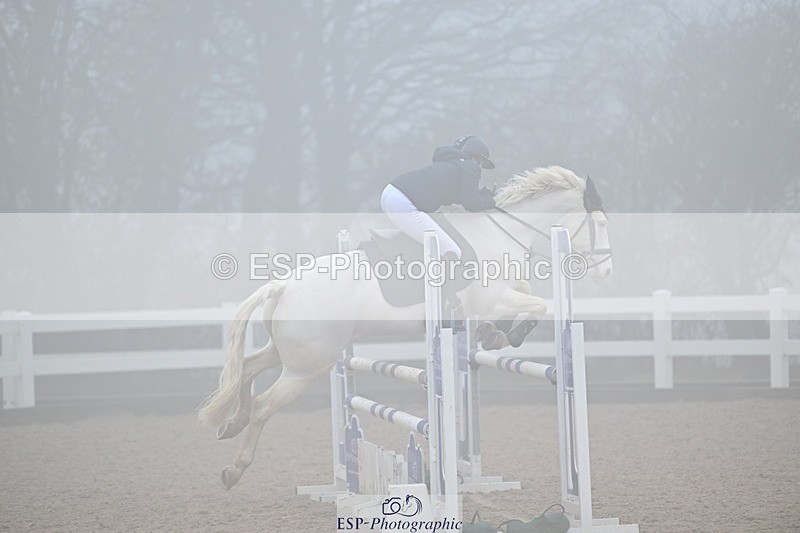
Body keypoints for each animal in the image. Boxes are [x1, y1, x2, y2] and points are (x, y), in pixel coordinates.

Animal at [198, 166, 612, 490]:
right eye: (602, 224)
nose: (606, 271)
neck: (499, 233)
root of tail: (282, 286)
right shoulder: (494, 299)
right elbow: (537, 305)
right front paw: (502, 335)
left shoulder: (502, 296)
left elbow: (528, 298)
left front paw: (491, 335)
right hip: (308, 366)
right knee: (265, 406)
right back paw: (234, 470)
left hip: (289, 353)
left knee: (248, 367)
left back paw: (232, 423)